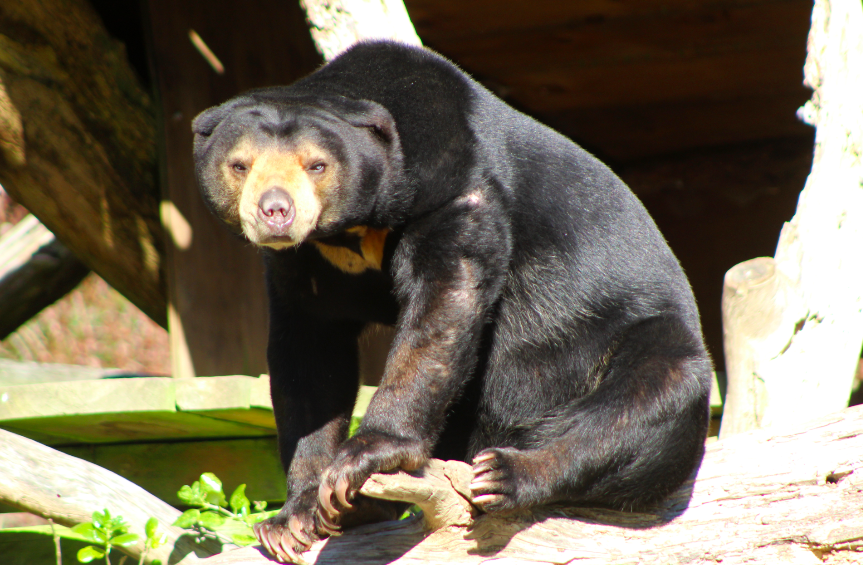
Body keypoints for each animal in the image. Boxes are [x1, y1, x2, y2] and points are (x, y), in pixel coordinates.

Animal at [192, 40, 713, 563]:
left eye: (316, 165)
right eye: (240, 165)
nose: (276, 212)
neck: (348, 233)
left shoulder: (455, 192)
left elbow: (443, 306)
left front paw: (363, 459)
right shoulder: (303, 264)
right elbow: (309, 359)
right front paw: (292, 518)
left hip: (638, 338)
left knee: (649, 395)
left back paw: (503, 473)